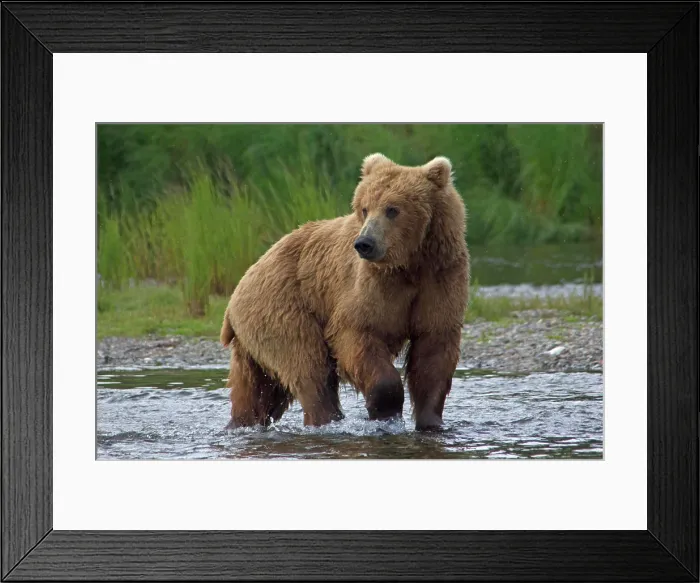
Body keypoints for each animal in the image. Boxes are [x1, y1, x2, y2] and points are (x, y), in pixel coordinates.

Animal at [220, 153, 469, 431]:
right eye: (365, 208)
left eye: (392, 209)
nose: (365, 243)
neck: (411, 265)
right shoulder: (369, 287)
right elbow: (356, 334)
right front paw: (384, 410)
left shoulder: (439, 279)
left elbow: (433, 350)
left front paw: (431, 421)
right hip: (282, 307)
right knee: (308, 366)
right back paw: (325, 420)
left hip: (255, 334)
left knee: (256, 389)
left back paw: (241, 422)